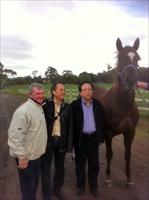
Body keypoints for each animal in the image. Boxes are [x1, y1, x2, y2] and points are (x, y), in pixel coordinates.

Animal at [93, 38, 140, 186]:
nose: (131, 81)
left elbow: (127, 154)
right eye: (120, 58)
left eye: (138, 58)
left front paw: (129, 178)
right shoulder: (108, 133)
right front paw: (108, 176)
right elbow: (109, 154)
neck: (123, 107)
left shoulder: (130, 132)